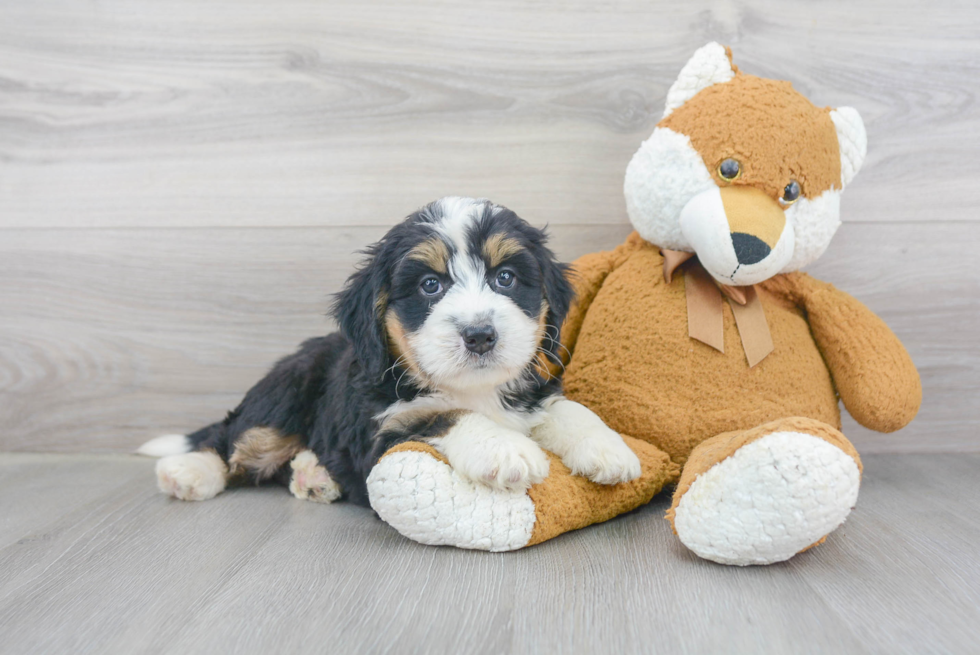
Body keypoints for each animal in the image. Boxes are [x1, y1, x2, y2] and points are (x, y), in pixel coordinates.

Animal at [140, 197, 644, 504]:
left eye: (505, 277)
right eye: (430, 285)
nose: (480, 335)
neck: (472, 388)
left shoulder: (532, 391)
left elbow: (566, 409)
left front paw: (606, 448)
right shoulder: (381, 430)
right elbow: (446, 415)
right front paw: (504, 450)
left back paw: (314, 475)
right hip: (285, 392)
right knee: (235, 438)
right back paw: (188, 472)